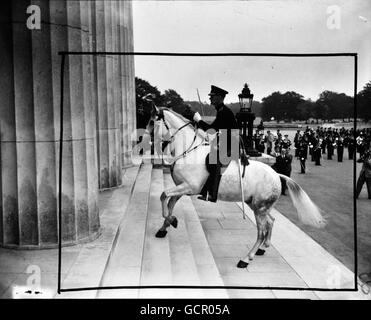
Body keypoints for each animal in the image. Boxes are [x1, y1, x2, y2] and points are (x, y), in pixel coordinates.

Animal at [145, 105, 326, 268]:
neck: (190, 151)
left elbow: (163, 196)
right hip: (256, 205)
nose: (143, 141)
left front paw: (170, 221)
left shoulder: (189, 187)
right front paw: (166, 225)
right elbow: (169, 202)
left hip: (259, 208)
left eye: (152, 121)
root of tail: (276, 175)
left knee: (261, 232)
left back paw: (246, 258)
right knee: (271, 221)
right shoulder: (183, 188)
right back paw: (263, 248)